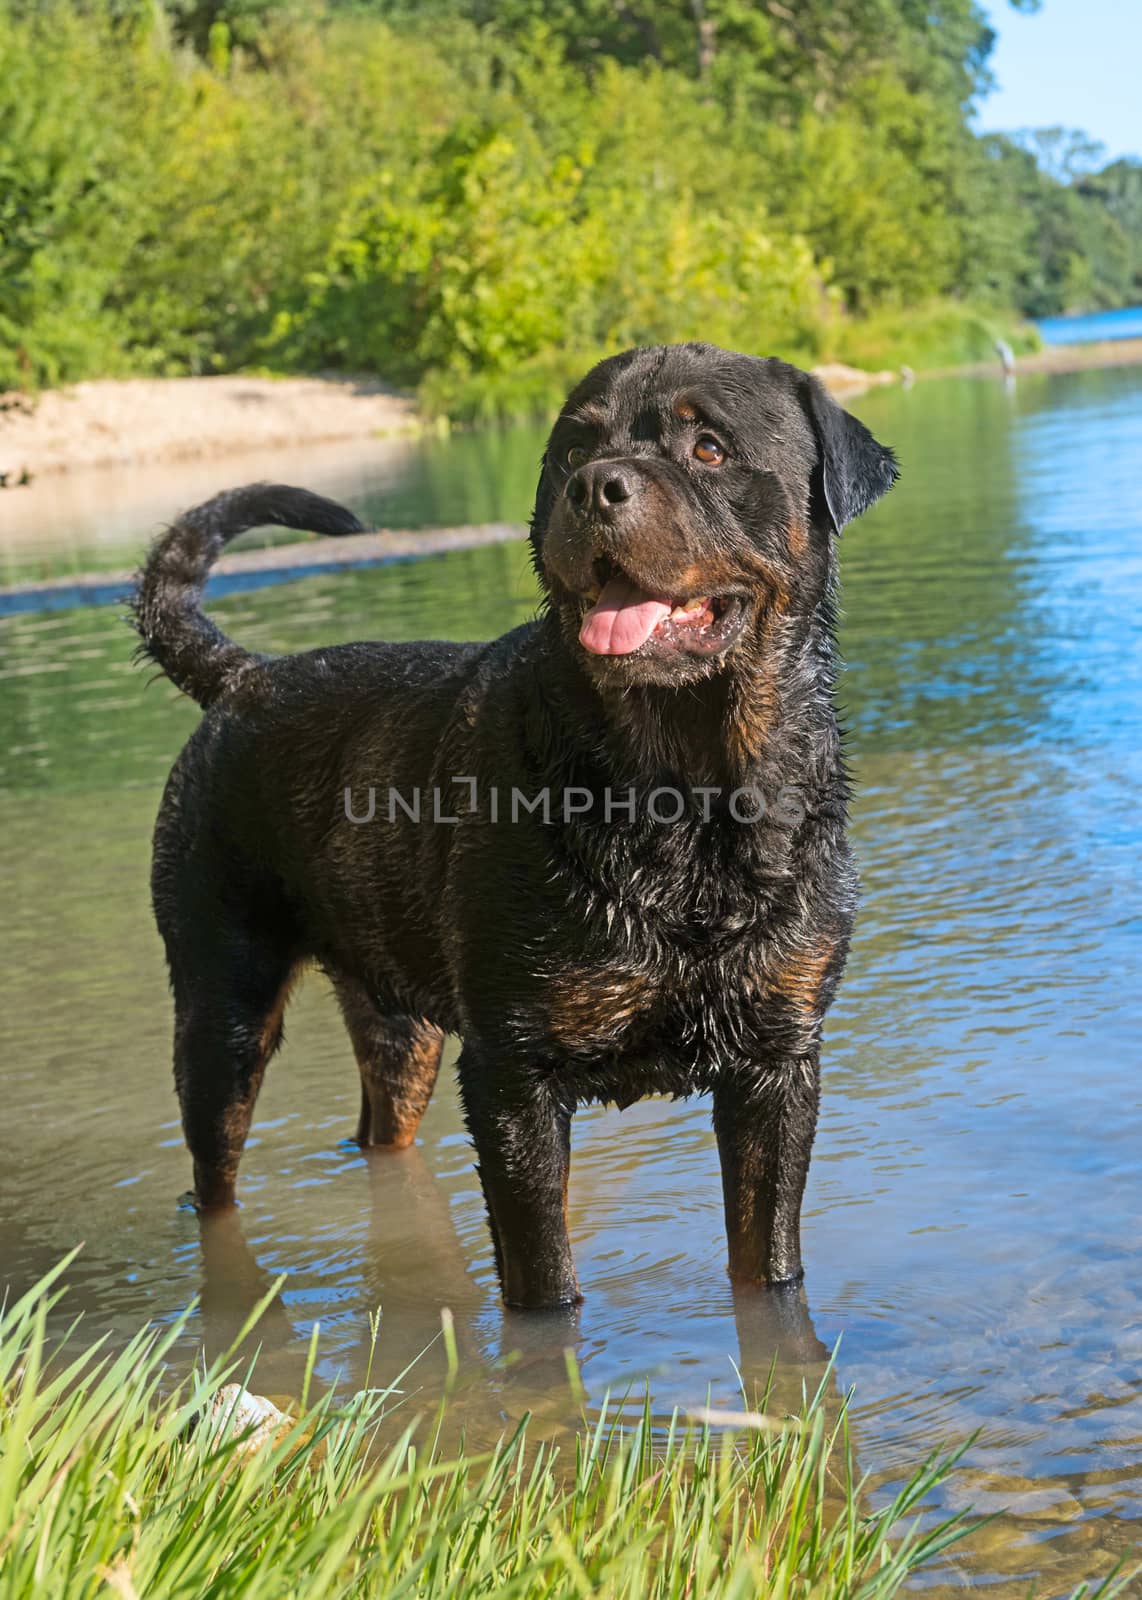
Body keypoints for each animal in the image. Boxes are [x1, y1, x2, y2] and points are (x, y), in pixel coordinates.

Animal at [133, 344, 895, 1305]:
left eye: (710, 448)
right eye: (573, 451)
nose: (597, 486)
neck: (686, 790)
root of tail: (242, 679)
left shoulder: (779, 1062)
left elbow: (771, 1264)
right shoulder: (513, 1072)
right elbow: (544, 1282)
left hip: (400, 1024)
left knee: (381, 1128)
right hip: (221, 1003)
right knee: (214, 1170)